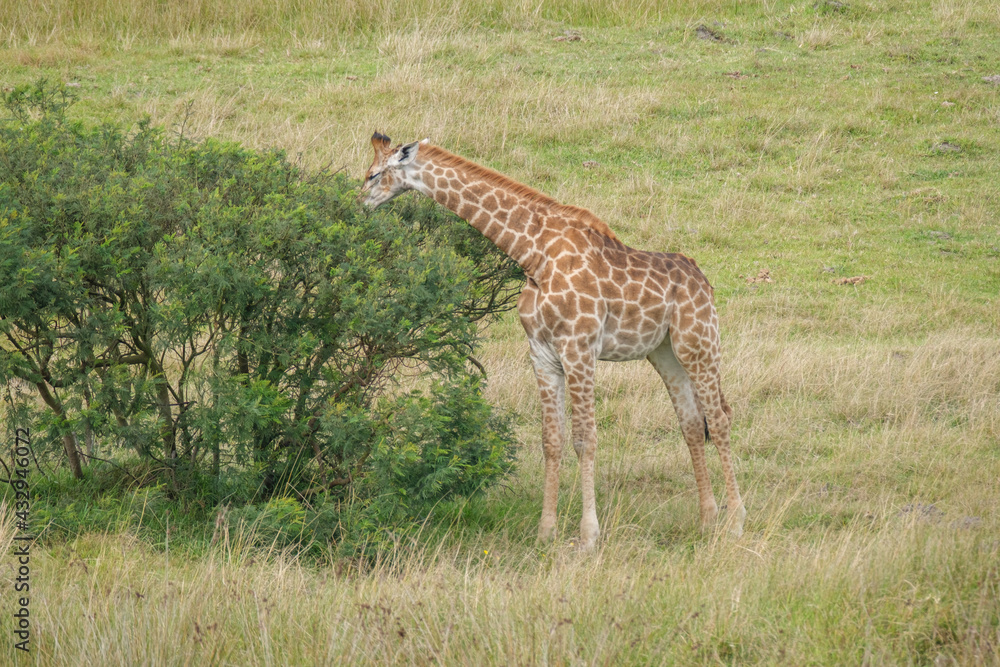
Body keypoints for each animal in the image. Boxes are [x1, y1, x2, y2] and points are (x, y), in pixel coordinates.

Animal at [359, 132, 745, 550]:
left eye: (373, 174)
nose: (359, 202)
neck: (533, 254)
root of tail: (703, 279)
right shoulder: (542, 354)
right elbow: (551, 440)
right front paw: (547, 531)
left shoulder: (579, 348)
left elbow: (585, 438)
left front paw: (589, 535)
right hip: (665, 352)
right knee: (691, 422)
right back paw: (707, 519)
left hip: (700, 342)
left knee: (720, 418)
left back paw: (735, 521)